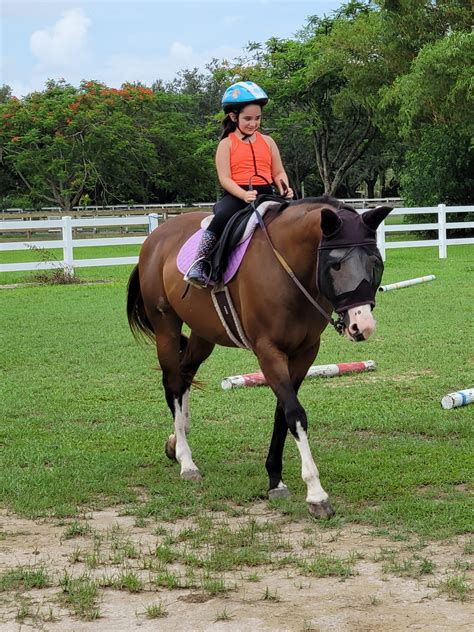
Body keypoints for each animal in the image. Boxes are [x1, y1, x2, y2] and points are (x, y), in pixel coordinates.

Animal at [126, 196, 392, 520]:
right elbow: (295, 414)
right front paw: (316, 494)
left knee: (186, 373)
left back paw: (177, 442)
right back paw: (186, 461)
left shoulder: (304, 353)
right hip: (166, 327)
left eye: (375, 262)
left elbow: (283, 413)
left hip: (203, 334)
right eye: (335, 264)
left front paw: (275, 479)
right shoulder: (268, 351)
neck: (288, 269)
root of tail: (156, 237)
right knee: (174, 382)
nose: (361, 326)